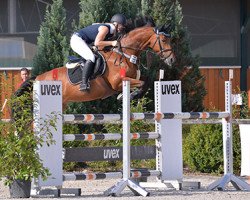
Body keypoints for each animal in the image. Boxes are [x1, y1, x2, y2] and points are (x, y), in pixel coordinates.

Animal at [15, 25, 174, 110]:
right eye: (163, 39)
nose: (172, 59)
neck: (124, 54)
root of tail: (38, 78)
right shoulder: (118, 82)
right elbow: (141, 83)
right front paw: (127, 95)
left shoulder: (133, 77)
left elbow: (146, 81)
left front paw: (130, 95)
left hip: (62, 104)